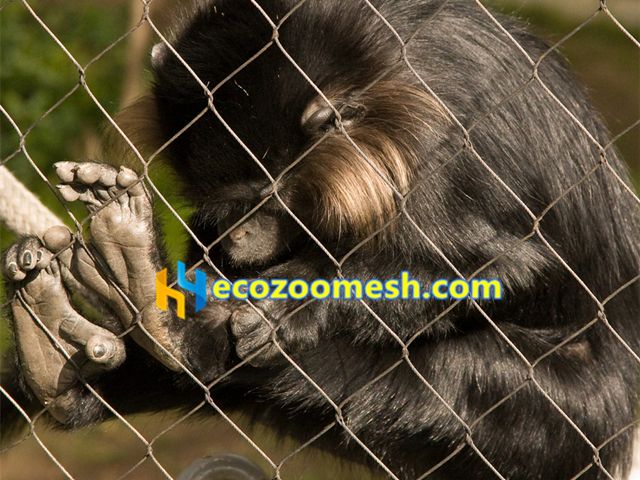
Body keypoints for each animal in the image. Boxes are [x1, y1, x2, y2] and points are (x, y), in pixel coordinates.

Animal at [2, 1, 639, 479]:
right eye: (223, 203)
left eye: (265, 198)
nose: (240, 238)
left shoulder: (445, 139)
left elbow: (509, 266)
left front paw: (295, 301)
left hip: (574, 416)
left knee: (454, 374)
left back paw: (179, 333)